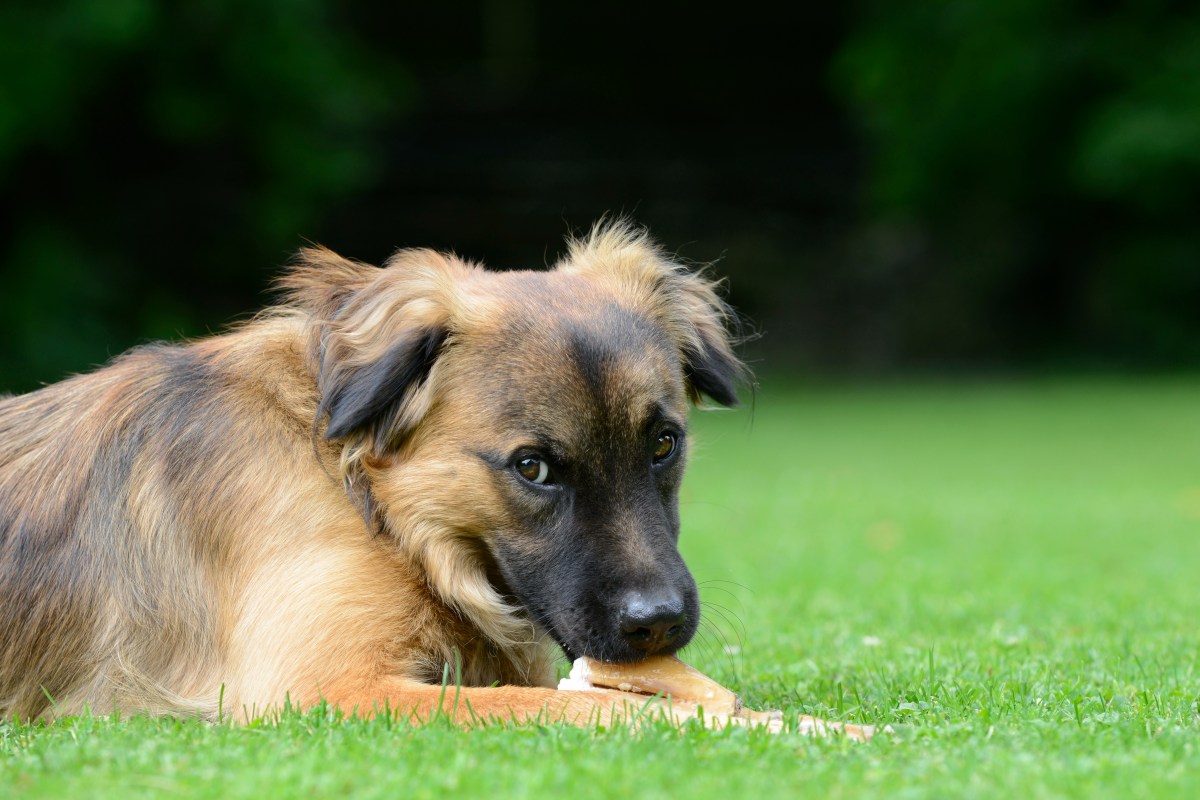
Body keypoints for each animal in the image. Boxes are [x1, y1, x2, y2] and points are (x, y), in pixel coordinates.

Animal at [0, 220, 748, 724]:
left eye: (663, 444)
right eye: (532, 467)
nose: (657, 622)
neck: (371, 499)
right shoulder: (322, 688)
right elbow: (570, 707)